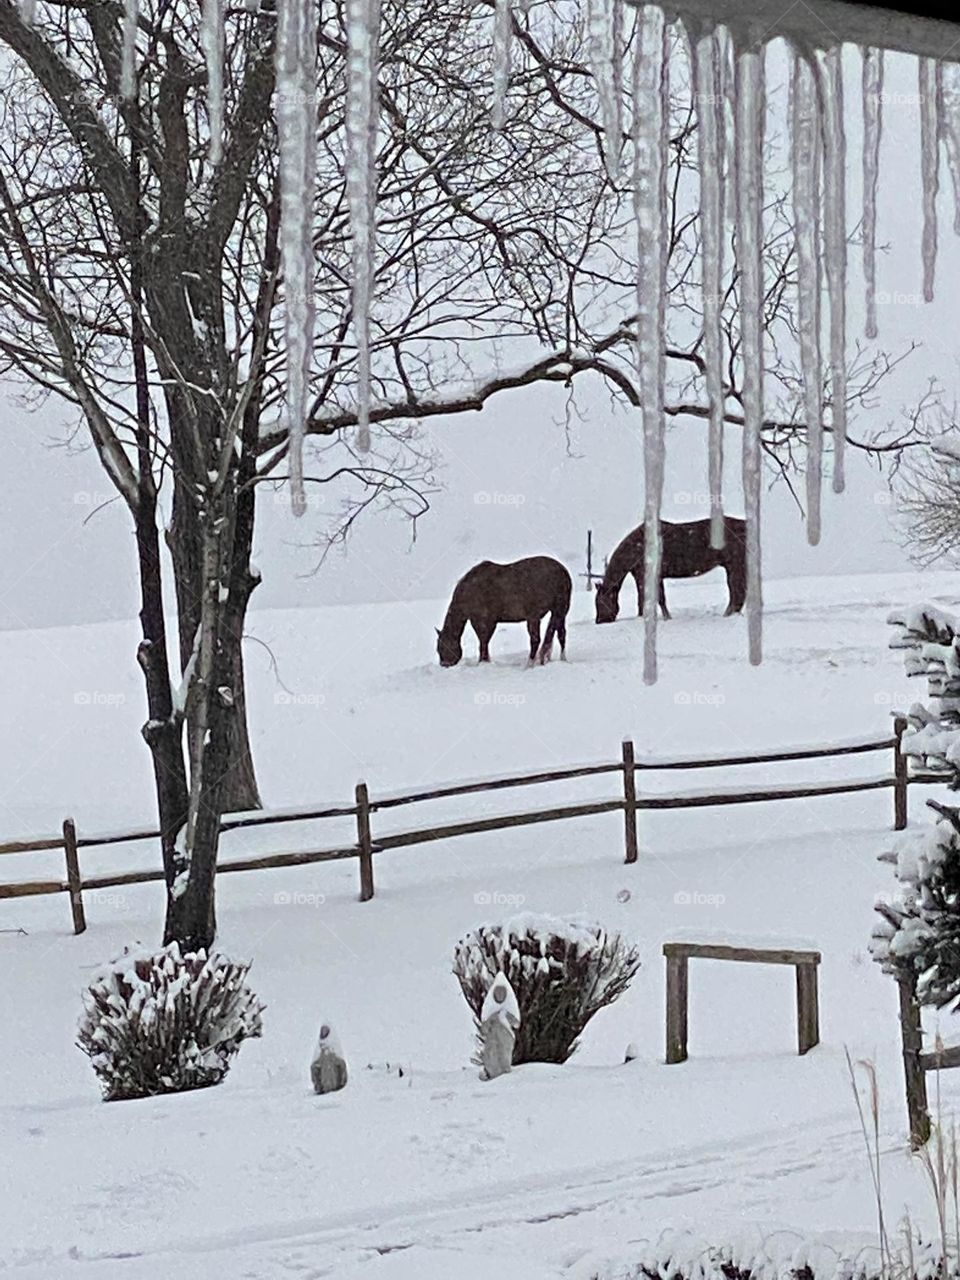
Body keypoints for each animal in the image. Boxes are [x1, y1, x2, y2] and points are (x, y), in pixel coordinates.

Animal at [437, 557, 572, 666]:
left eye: (442, 647)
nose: (444, 665)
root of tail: (563, 572)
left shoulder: (483, 621)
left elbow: (483, 642)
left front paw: (482, 662)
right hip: (560, 612)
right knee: (561, 635)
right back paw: (563, 659)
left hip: (534, 617)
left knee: (535, 640)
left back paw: (529, 664)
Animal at [594, 517, 746, 623]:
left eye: (600, 602)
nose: (599, 621)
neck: (637, 549)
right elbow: (654, 599)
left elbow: (650, 599)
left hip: (735, 566)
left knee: (737, 593)